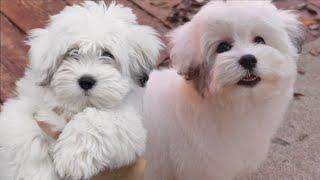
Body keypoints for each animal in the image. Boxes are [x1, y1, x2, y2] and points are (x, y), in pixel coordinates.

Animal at [0, 0, 162, 179]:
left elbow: (98, 117)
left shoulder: (133, 128)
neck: (76, 106)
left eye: (108, 54)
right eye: (72, 52)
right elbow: (26, 142)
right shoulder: (23, 110)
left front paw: (72, 158)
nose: (86, 81)